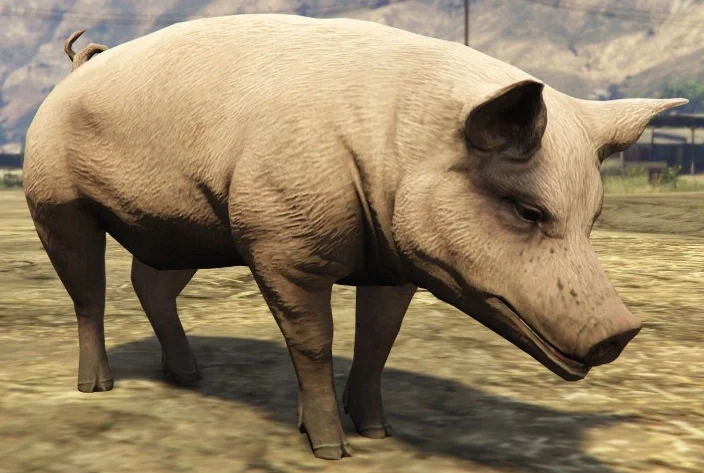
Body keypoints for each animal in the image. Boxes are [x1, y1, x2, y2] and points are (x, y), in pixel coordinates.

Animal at [23, 14, 686, 460]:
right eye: (527, 210)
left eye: (592, 216)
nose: (621, 330)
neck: (397, 153)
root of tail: (76, 72)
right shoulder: (279, 243)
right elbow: (315, 343)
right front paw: (331, 450)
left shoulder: (393, 265)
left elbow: (378, 342)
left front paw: (381, 433)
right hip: (53, 200)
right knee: (89, 295)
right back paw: (97, 386)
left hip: (184, 229)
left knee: (150, 283)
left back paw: (191, 378)